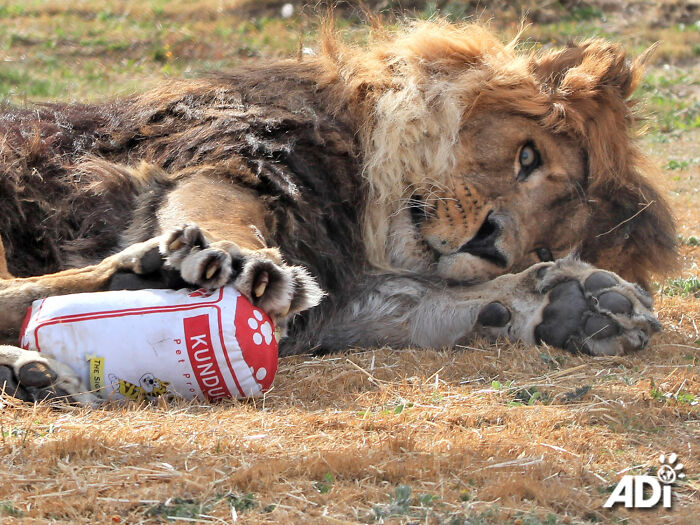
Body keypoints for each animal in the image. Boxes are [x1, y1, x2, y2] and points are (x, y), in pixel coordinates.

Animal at [0, 21, 677, 403]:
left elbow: (412, 301)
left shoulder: (338, 289)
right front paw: (238, 261)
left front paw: (572, 306)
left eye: (545, 245)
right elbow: (221, 210)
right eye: (527, 156)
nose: (489, 242)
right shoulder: (236, 152)